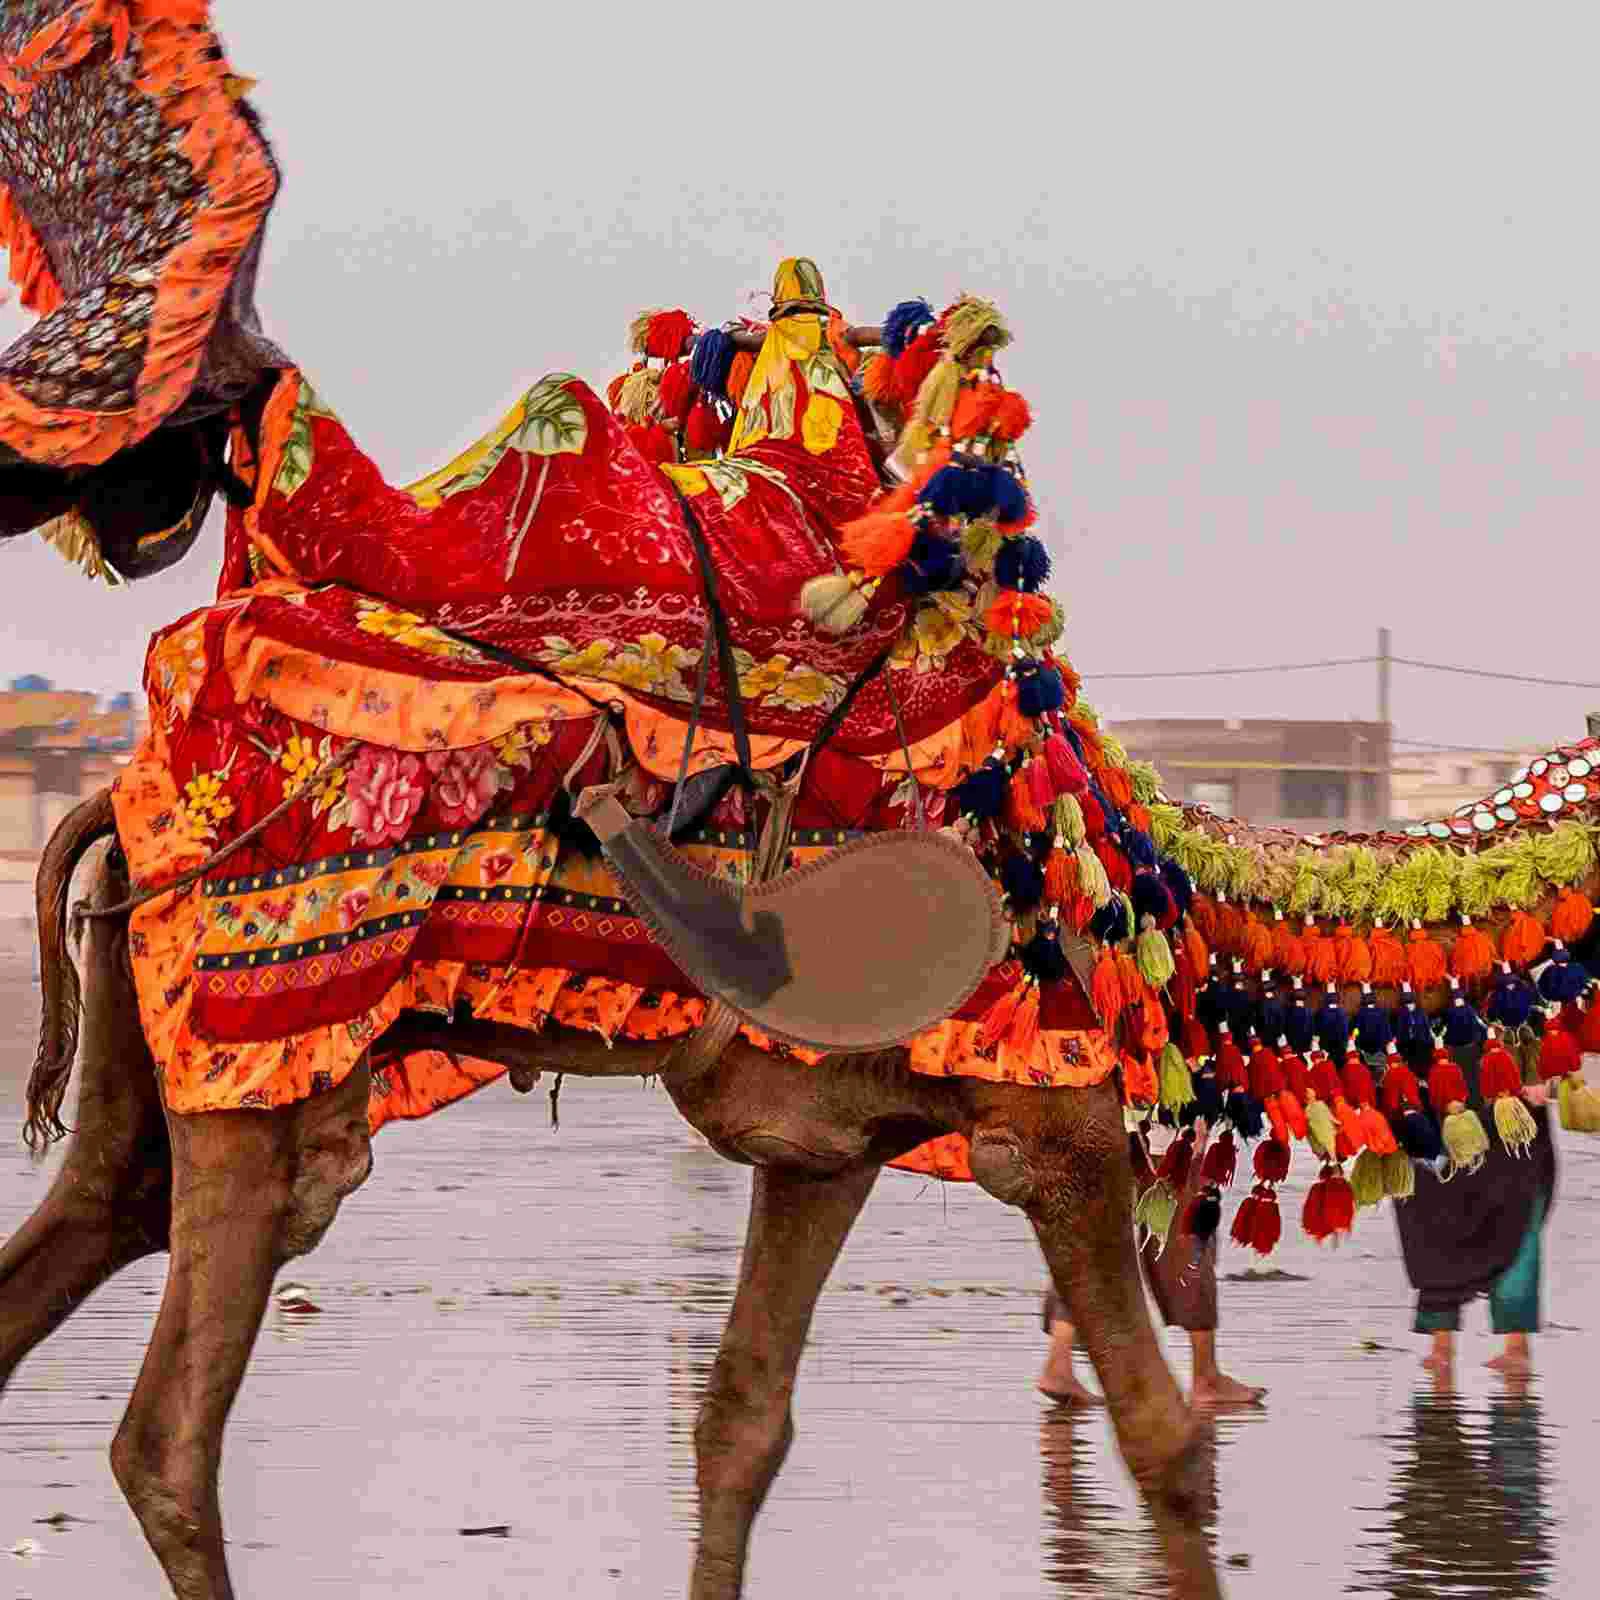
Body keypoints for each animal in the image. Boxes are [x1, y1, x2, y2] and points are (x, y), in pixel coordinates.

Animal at [0, 9, 1593, 1600]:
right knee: (167, 1434)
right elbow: (1163, 1438)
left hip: (154, 1063)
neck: (1144, 887)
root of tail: (123, 801)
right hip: (264, 1066)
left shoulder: (832, 1131)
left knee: (87, 1231)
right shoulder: (1054, 1117)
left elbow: (741, 1424)